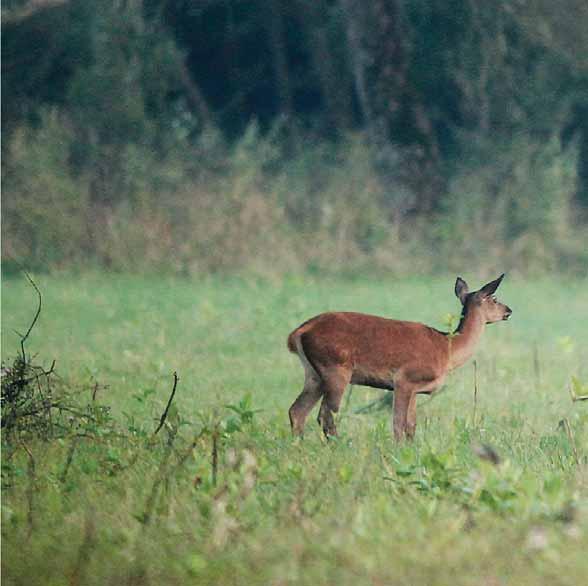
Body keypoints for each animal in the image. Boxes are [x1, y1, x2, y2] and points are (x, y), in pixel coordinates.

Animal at [284, 274, 510, 438]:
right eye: (495, 298)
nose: (509, 310)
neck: (447, 350)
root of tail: (299, 332)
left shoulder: (416, 390)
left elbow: (411, 426)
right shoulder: (404, 379)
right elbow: (398, 424)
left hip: (314, 374)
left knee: (297, 411)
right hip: (336, 367)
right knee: (325, 415)